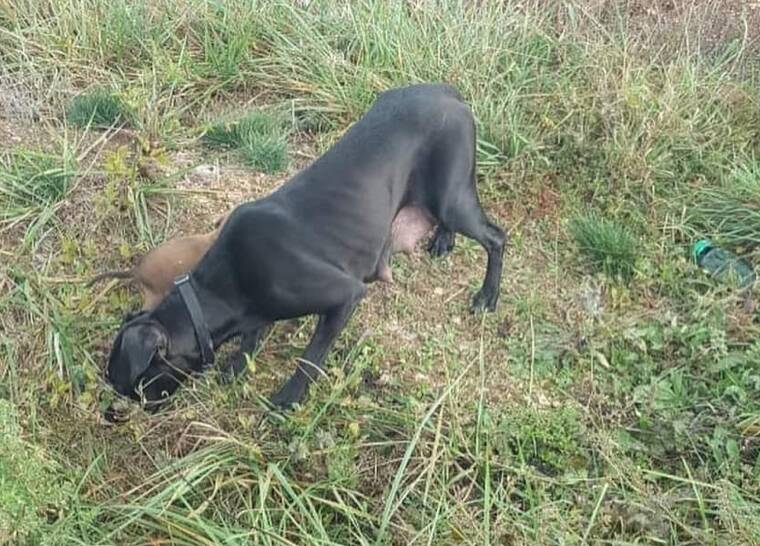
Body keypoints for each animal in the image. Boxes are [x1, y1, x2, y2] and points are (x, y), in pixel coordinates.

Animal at [102, 84, 504, 408]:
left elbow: (311, 357)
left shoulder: (345, 296)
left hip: (452, 198)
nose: (117, 413)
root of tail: (450, 92)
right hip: (443, 197)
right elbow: (251, 337)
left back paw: (487, 296)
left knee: (496, 237)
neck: (221, 289)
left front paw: (289, 397)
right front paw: (237, 366)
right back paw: (443, 242)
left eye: (135, 387)